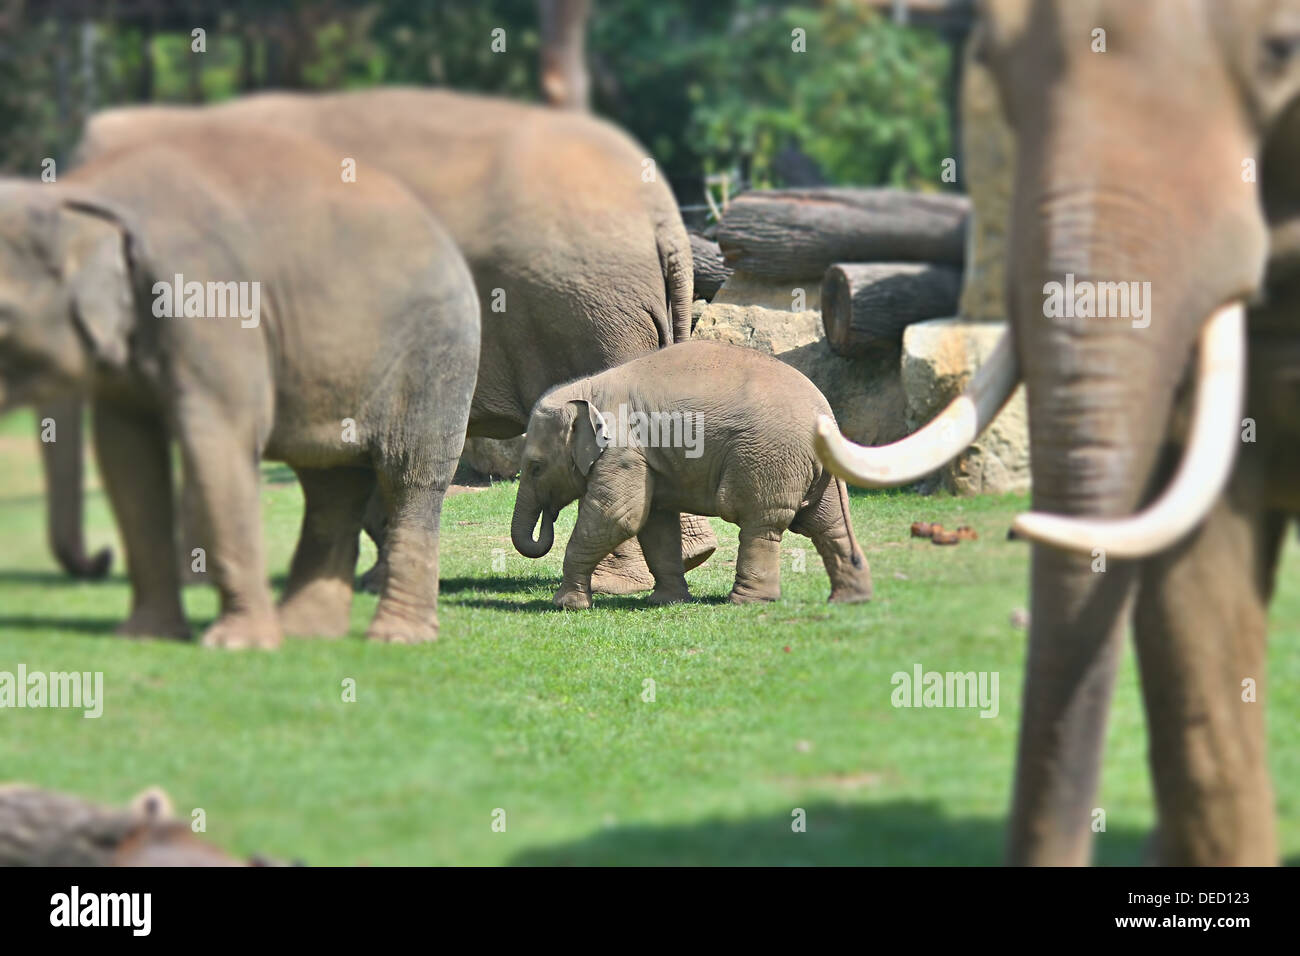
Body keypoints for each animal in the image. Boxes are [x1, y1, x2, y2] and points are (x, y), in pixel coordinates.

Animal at [0, 119, 480, 648]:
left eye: (1, 317)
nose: (102, 558)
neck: (81, 198)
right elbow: (125, 453)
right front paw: (144, 636)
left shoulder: (206, 300)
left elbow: (219, 439)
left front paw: (236, 644)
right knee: (330, 485)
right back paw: (305, 632)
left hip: (435, 355)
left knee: (408, 474)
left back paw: (395, 637)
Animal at [511, 341, 874, 609]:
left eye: (536, 467)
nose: (549, 516)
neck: (589, 389)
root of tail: (824, 412)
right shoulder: (647, 459)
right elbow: (655, 522)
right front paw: (666, 601)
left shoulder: (622, 451)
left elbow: (617, 517)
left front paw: (565, 605)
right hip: (810, 468)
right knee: (827, 524)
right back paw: (850, 600)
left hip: (770, 458)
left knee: (760, 522)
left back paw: (746, 602)